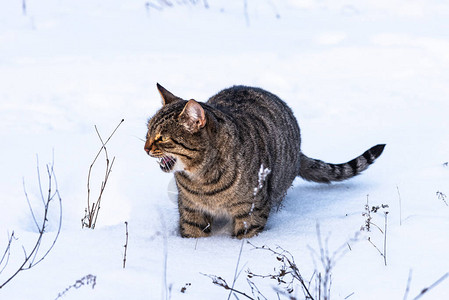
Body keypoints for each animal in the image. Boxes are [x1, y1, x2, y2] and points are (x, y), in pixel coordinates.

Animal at [144, 84, 384, 239]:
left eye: (162, 137)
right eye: (148, 131)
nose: (145, 148)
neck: (203, 179)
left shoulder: (251, 209)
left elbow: (246, 235)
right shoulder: (190, 209)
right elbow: (193, 233)